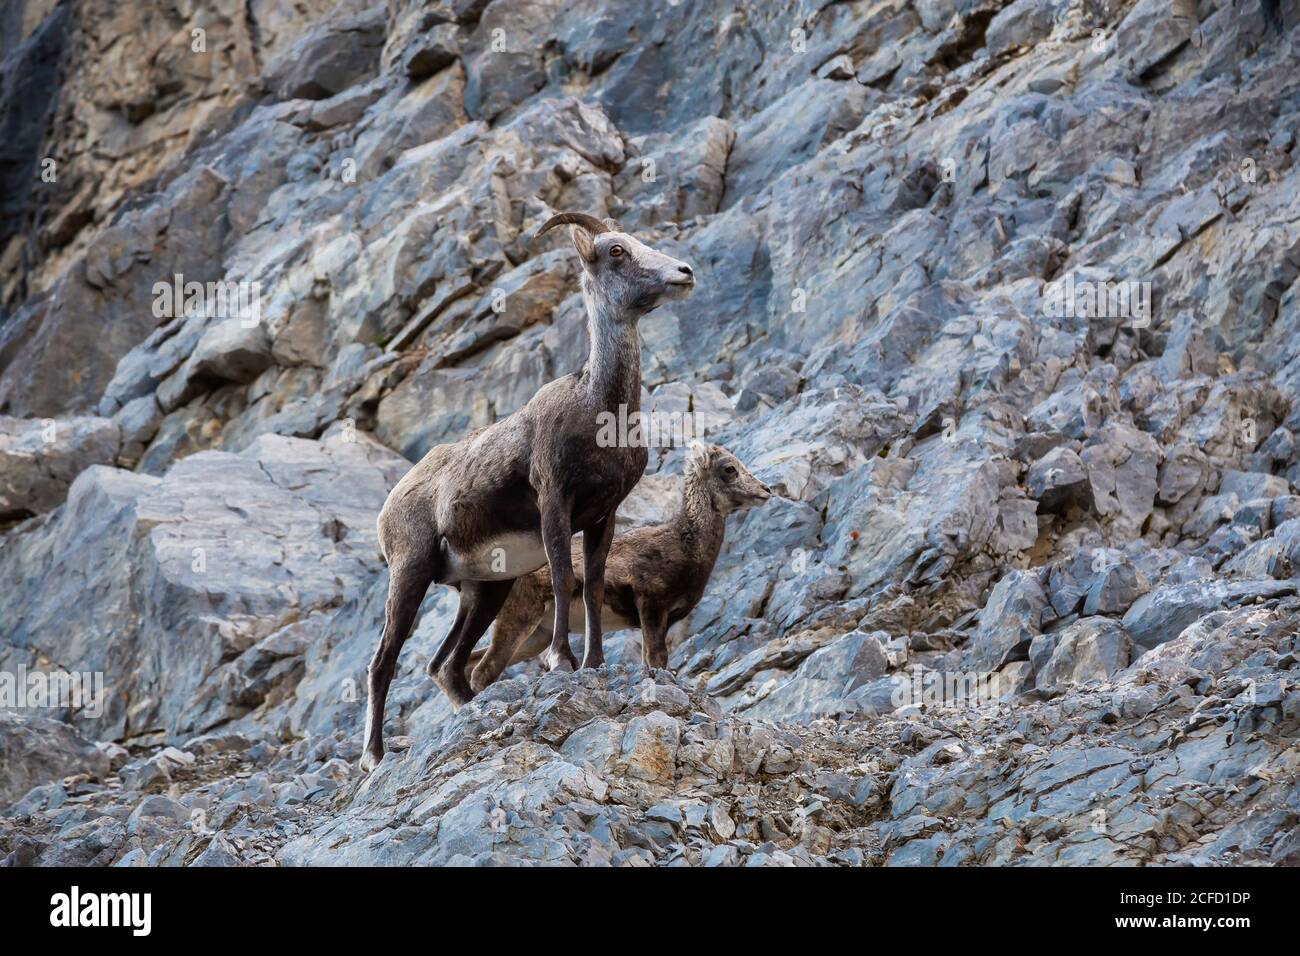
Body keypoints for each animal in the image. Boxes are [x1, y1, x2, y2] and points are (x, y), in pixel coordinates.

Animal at [360, 212, 695, 771]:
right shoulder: (554, 502)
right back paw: (374, 757)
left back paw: (472, 710)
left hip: (483, 590)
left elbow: (592, 583)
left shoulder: (602, 517)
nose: (684, 272)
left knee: (445, 666)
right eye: (616, 251)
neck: (598, 408)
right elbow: (563, 577)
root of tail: (387, 510)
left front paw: (594, 662)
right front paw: (563, 659)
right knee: (384, 660)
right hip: (410, 573)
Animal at [463, 442, 773, 695]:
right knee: (481, 672)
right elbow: (656, 660)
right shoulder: (650, 606)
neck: (685, 546)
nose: (765, 490)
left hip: (536, 637)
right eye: (729, 468)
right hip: (519, 619)